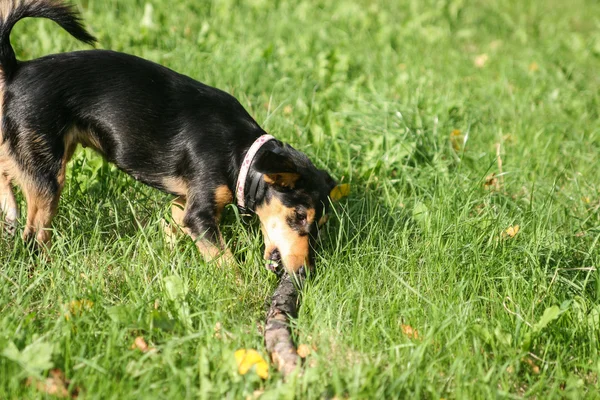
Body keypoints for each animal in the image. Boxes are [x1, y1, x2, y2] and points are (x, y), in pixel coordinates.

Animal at [0, 0, 342, 274]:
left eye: (320, 226)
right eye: (299, 216)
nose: (305, 272)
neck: (242, 154)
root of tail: (16, 69)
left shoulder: (184, 202)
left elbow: (171, 228)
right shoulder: (200, 214)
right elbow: (225, 260)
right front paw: (241, 286)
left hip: (33, 149)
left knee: (7, 171)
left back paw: (9, 212)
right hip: (46, 172)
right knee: (34, 234)